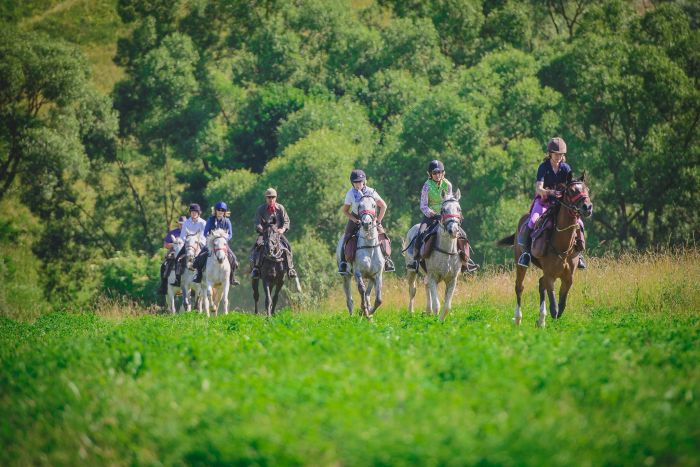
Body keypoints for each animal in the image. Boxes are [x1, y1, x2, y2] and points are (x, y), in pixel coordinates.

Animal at [498, 172, 592, 330]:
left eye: (587, 189)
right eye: (571, 191)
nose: (587, 207)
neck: (563, 246)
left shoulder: (568, 278)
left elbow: (561, 305)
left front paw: (546, 320)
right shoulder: (550, 275)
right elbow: (554, 306)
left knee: (540, 284)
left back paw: (541, 320)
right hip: (520, 262)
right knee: (519, 287)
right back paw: (518, 318)